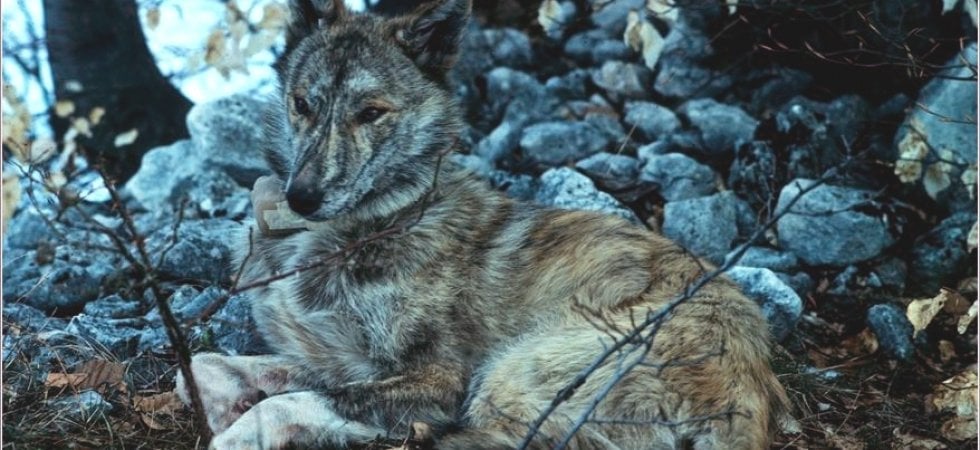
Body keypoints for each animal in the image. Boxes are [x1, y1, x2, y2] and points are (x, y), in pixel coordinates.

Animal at [177, 0, 790, 448]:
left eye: (371, 113)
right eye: (303, 103)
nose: (302, 198)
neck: (381, 214)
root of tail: (749, 381)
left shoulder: (439, 379)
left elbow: (291, 401)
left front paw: (240, 429)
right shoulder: (338, 360)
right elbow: (211, 364)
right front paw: (224, 397)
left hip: (519, 372)